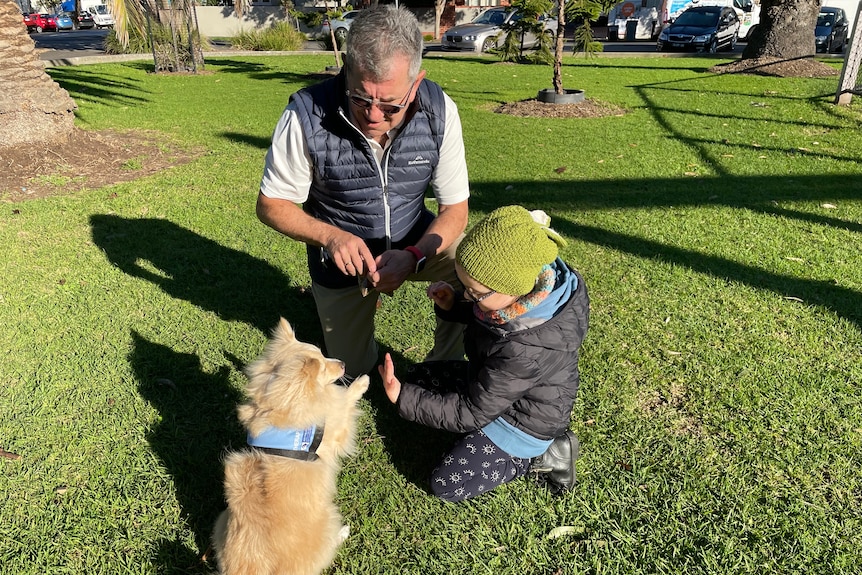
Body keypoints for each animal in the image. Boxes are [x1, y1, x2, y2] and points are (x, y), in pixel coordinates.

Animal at [213, 320, 372, 575]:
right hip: (330, 517)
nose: (343, 363)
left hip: (220, 522)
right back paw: (343, 533)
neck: (276, 406)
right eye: (324, 367)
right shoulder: (336, 427)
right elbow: (345, 400)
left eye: (324, 354)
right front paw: (362, 382)